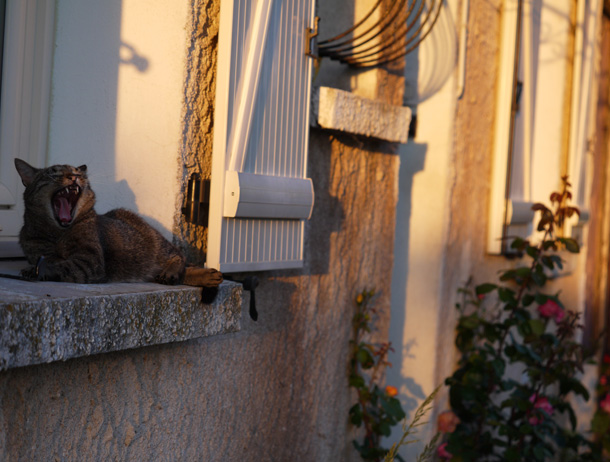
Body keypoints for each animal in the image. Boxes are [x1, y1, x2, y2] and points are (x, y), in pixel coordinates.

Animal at [13, 161, 221, 286]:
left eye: (77, 172)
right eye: (53, 173)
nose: (75, 177)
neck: (59, 233)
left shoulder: (90, 261)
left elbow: (64, 265)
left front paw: (40, 270)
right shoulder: (40, 250)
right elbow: (53, 259)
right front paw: (36, 268)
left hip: (158, 246)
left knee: (179, 257)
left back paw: (180, 272)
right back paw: (208, 276)